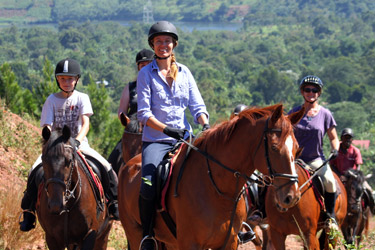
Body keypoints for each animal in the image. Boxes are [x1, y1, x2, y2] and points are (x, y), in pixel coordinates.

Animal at [119, 104, 306, 250]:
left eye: (296, 148)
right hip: (135, 234)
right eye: (274, 148)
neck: (217, 189)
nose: (292, 196)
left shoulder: (229, 242)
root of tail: (128, 165)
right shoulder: (190, 243)